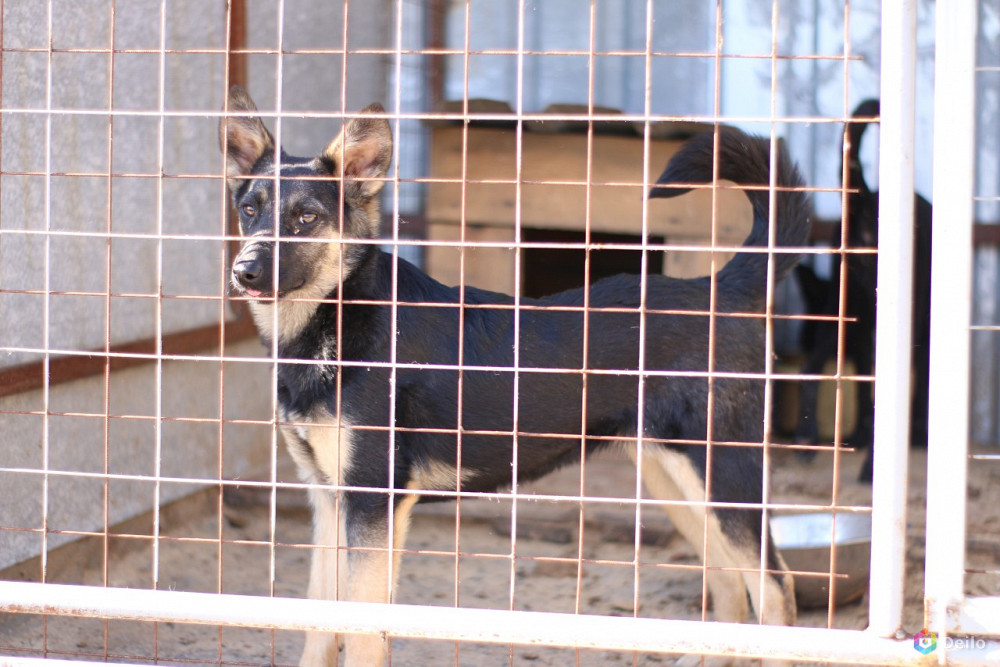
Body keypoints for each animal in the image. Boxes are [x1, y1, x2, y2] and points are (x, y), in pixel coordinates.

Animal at [223, 86, 808, 664]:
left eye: (305, 217)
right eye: (249, 210)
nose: (244, 272)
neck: (336, 318)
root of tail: (719, 289)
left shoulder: (372, 499)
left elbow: (364, 631)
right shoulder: (329, 498)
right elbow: (320, 623)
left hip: (723, 472)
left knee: (776, 588)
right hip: (673, 476)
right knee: (730, 583)